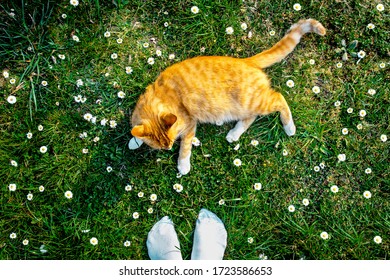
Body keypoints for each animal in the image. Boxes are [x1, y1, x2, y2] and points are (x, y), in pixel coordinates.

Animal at [130, 18, 326, 174]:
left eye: (170, 142)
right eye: (161, 145)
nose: (169, 147)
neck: (160, 97)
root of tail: (247, 61)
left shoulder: (189, 123)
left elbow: (185, 147)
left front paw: (183, 165)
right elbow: (136, 132)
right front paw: (134, 141)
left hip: (255, 101)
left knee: (279, 98)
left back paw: (289, 126)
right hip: (245, 106)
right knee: (251, 117)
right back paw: (234, 134)